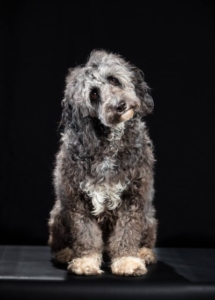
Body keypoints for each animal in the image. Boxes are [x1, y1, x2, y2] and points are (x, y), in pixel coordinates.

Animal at [47, 49, 157, 276]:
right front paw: (86, 261)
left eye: (114, 79)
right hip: (58, 215)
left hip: (149, 218)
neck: (109, 143)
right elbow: (85, 234)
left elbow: (127, 232)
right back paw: (65, 253)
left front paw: (126, 260)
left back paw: (144, 253)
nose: (120, 105)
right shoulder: (76, 200)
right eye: (94, 94)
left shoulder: (134, 197)